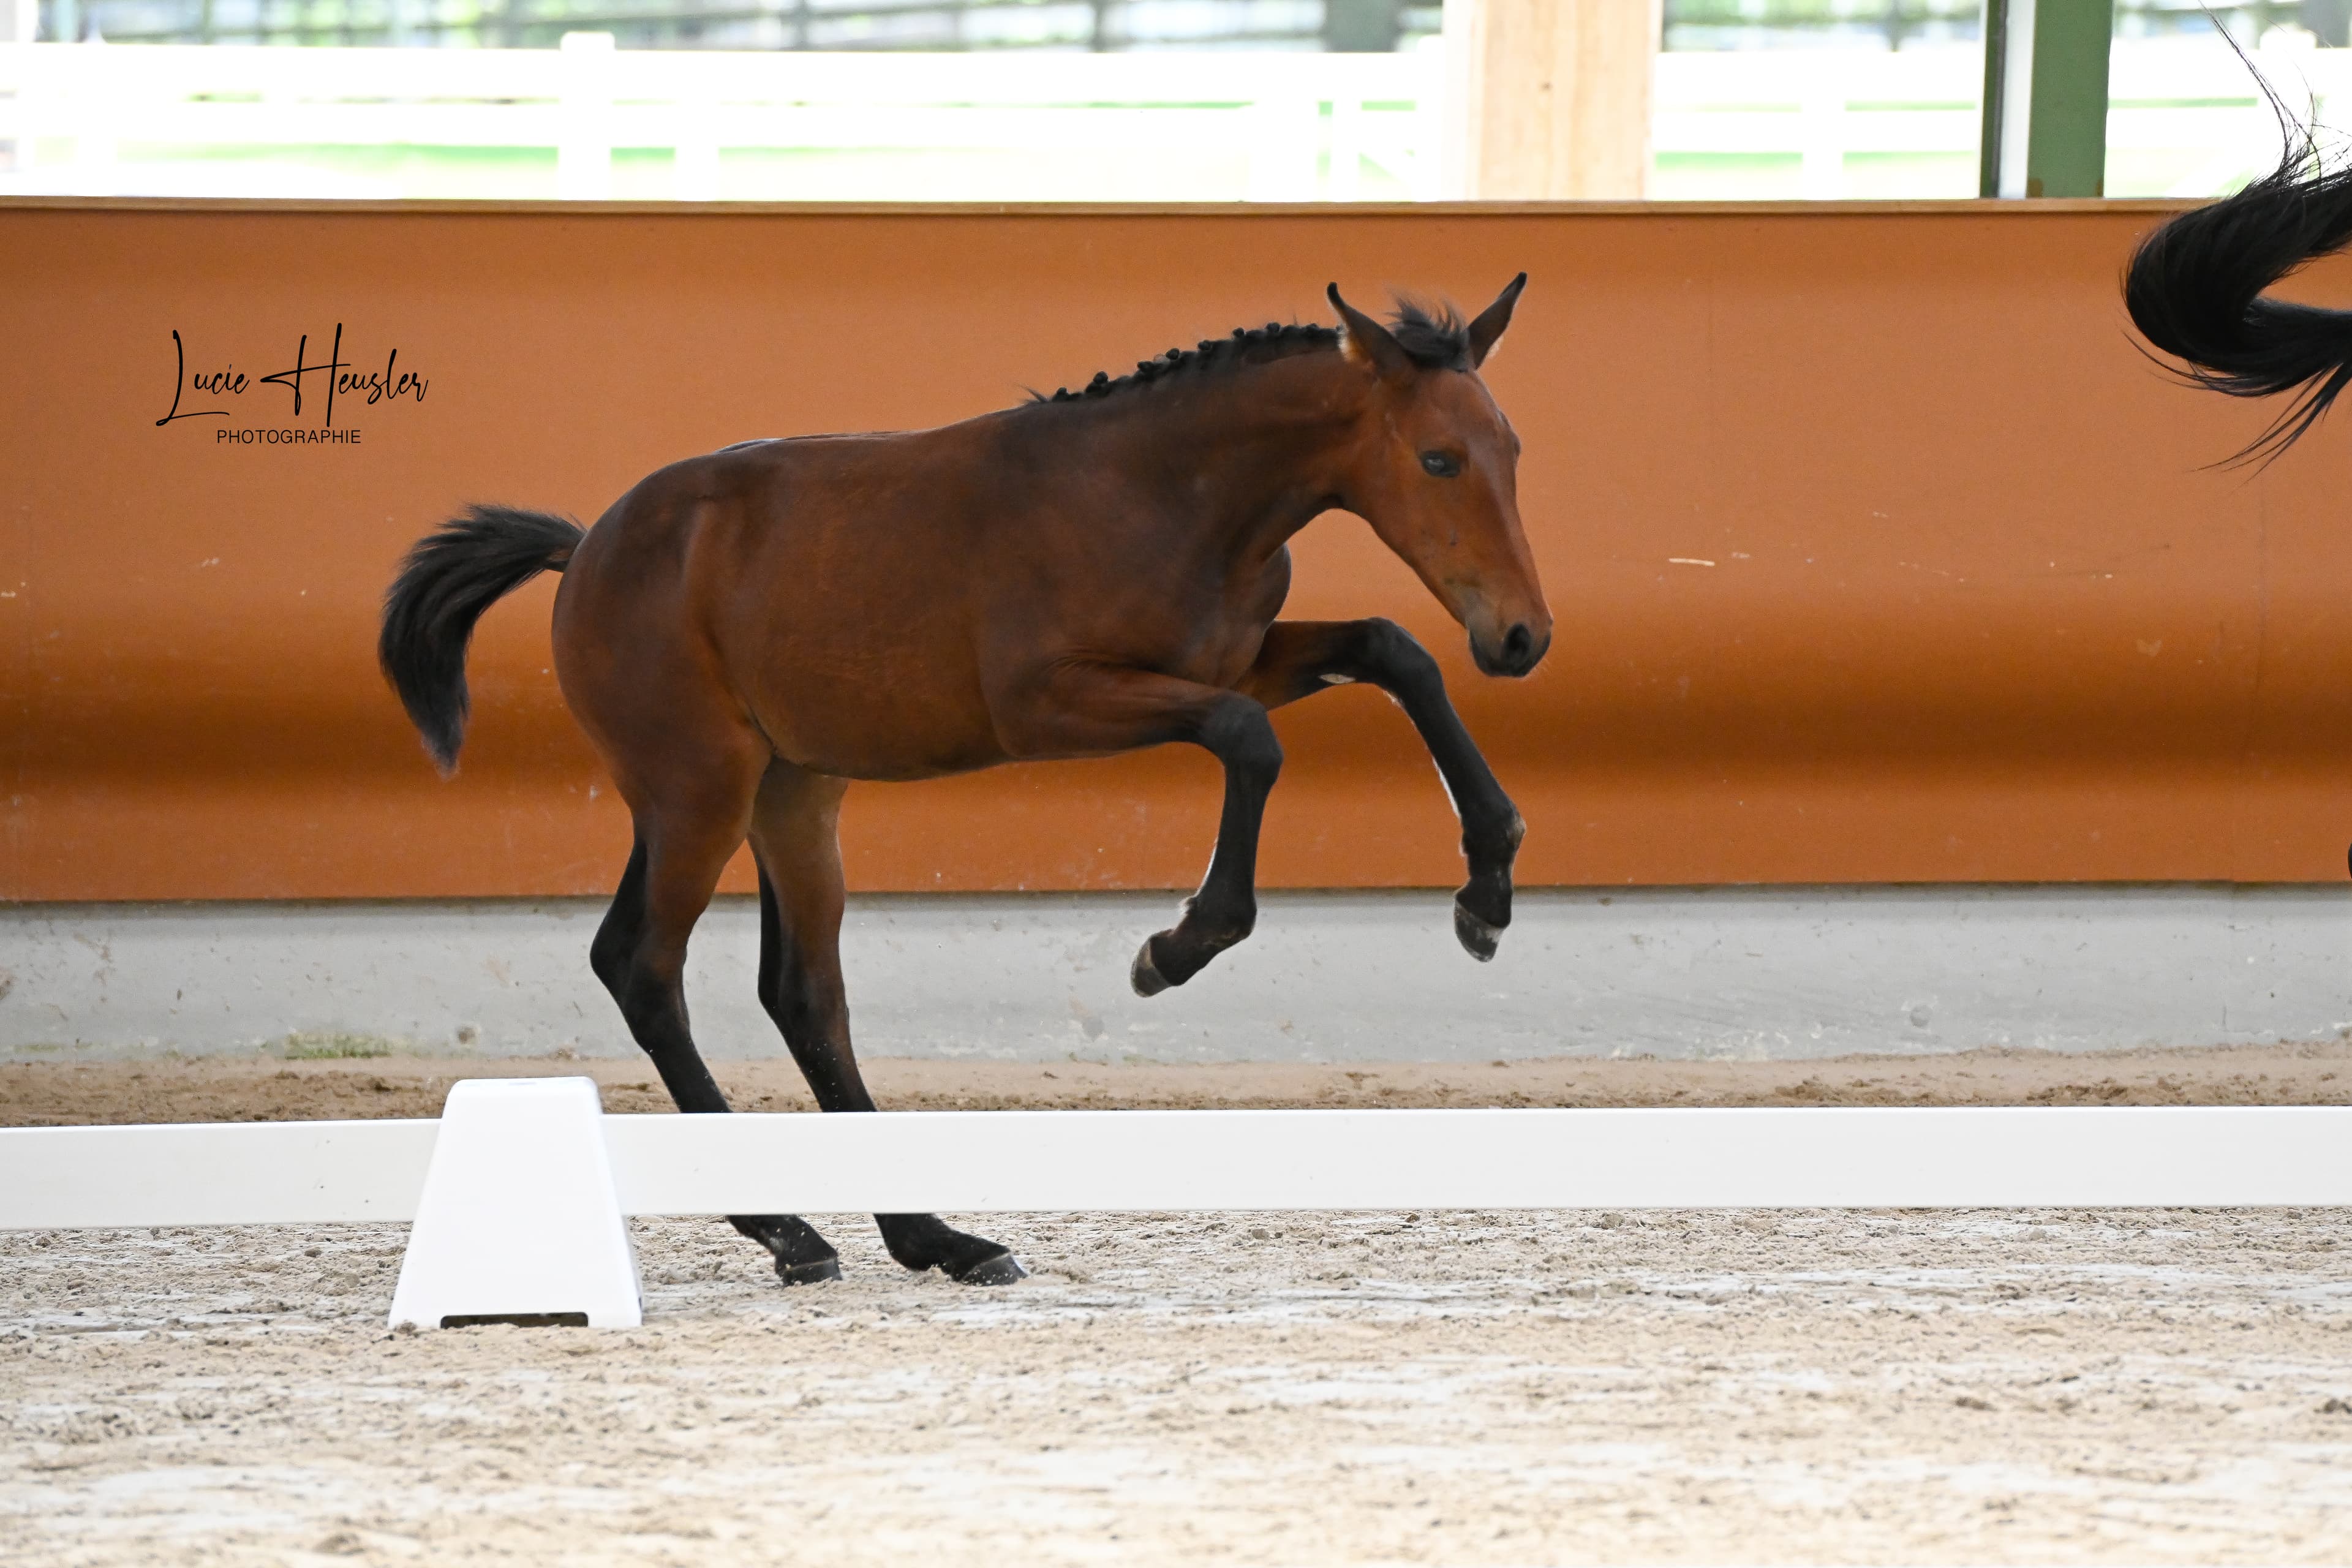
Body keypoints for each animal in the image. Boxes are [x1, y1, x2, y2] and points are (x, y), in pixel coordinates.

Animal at [377, 277, 1551, 1287]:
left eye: (1512, 448)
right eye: (1439, 459)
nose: (1522, 636)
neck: (1164, 493)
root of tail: (585, 553)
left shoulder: (1234, 656)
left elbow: (1395, 651)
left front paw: (1488, 893)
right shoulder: (1054, 704)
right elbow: (1250, 740)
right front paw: (1173, 948)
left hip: (792, 795)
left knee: (803, 994)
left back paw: (933, 1236)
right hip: (696, 791)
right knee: (642, 965)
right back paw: (788, 1230)